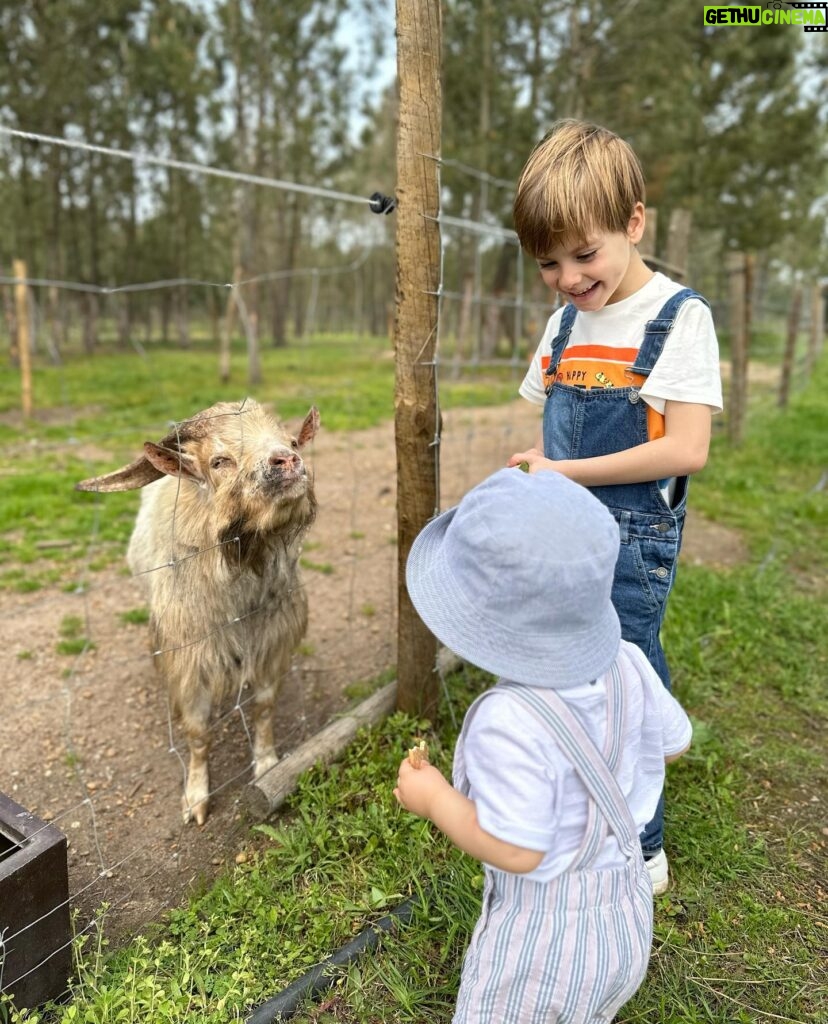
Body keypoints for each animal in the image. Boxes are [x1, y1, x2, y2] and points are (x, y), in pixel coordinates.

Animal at [75, 399, 319, 823]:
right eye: (220, 461)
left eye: (292, 441)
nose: (287, 461)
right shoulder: (189, 663)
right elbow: (197, 732)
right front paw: (195, 800)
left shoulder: (272, 644)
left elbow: (264, 708)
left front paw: (267, 767)